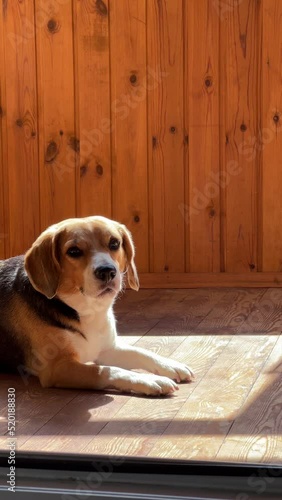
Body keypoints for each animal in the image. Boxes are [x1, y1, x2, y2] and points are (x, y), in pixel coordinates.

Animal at [0, 216, 194, 394]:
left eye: (114, 243)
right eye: (74, 251)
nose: (107, 271)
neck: (87, 310)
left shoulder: (108, 349)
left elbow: (141, 352)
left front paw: (169, 365)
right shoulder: (58, 368)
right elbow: (109, 371)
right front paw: (147, 379)